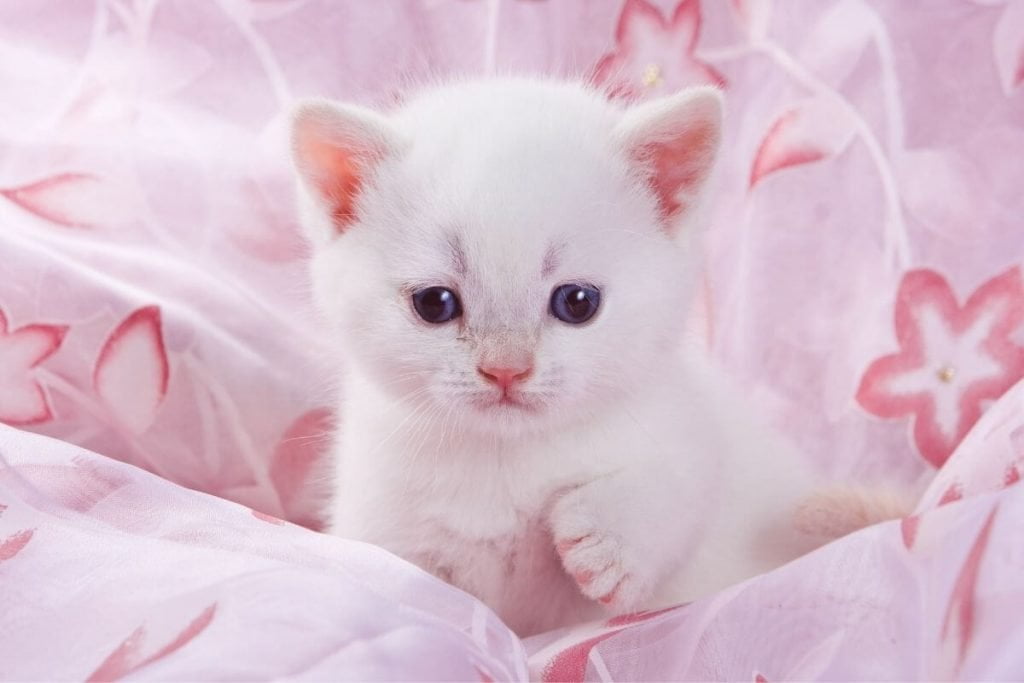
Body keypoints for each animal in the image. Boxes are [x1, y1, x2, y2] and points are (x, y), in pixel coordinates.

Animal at [286, 78, 888, 634]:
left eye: (577, 302)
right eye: (435, 303)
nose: (506, 369)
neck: (506, 459)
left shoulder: (691, 430)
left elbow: (683, 486)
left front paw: (611, 541)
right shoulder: (379, 508)